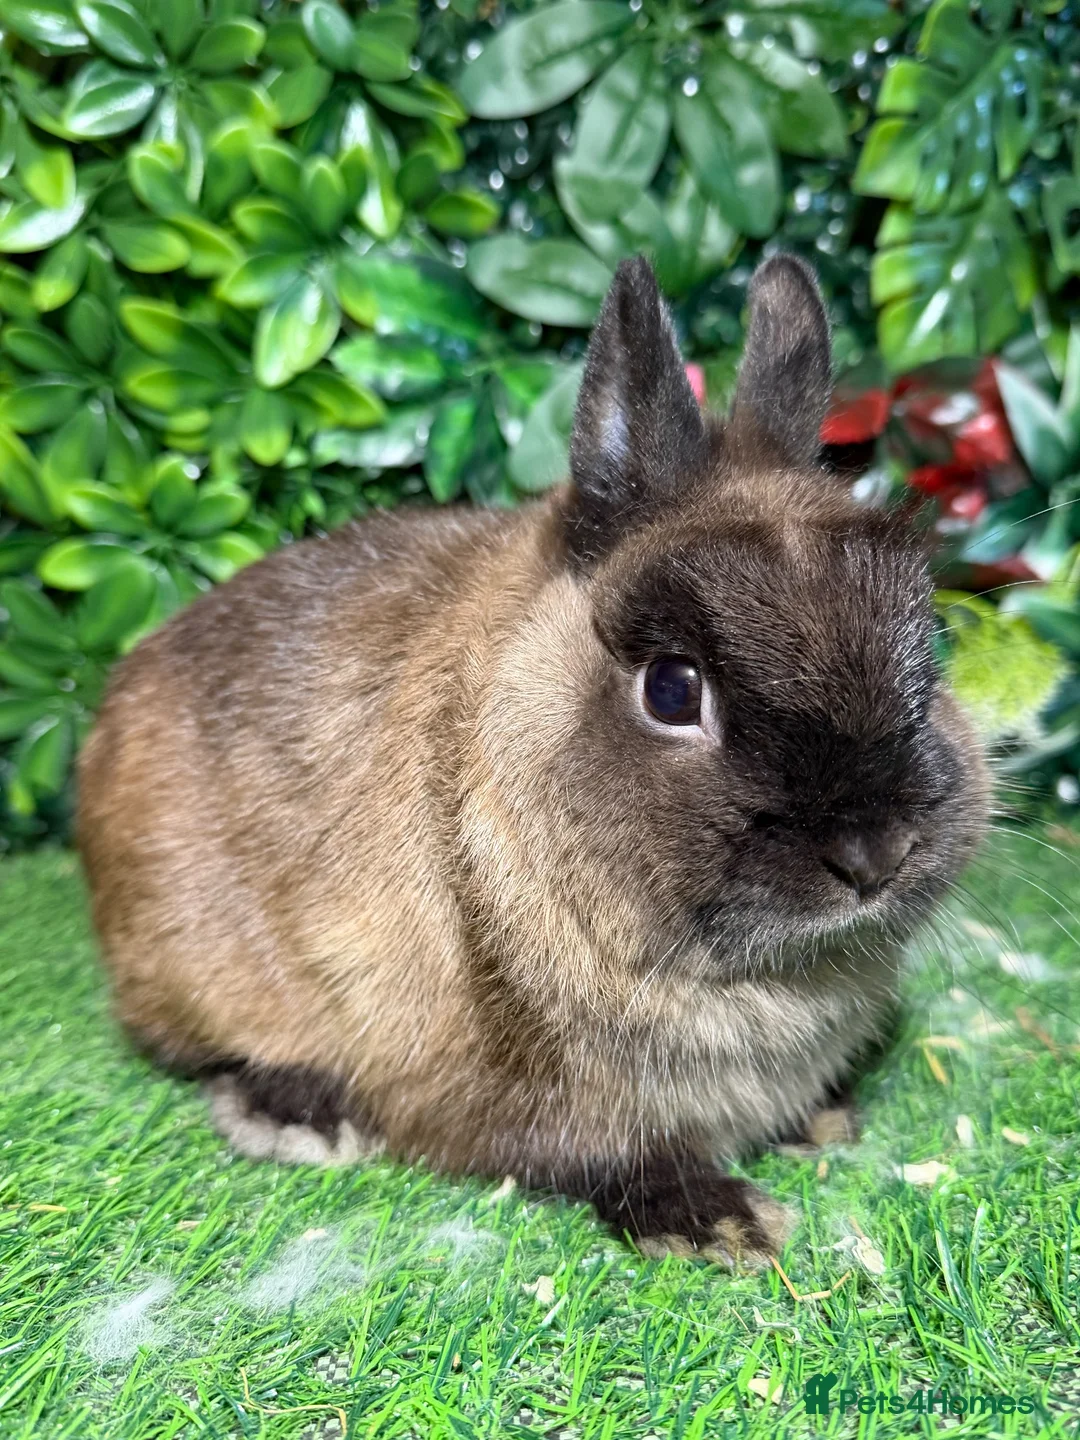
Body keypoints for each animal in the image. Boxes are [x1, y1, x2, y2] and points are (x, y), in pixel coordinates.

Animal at [77, 254, 989, 1266]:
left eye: (929, 641)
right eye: (673, 689)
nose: (873, 854)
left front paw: (823, 1121)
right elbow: (602, 1154)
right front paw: (722, 1221)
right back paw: (297, 1116)